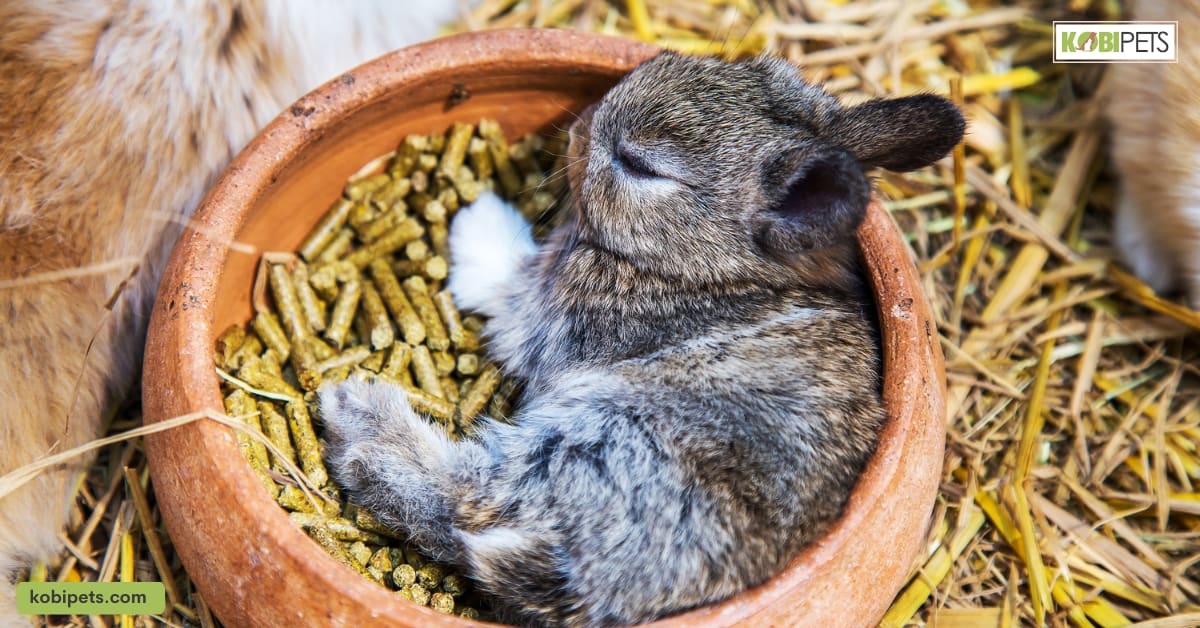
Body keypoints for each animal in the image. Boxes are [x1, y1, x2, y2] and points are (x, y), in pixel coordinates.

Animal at [318, 51, 964, 627]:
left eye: (639, 165)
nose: (579, 128)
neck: (709, 267)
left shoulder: (550, 313)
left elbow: (505, 283)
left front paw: (476, 220)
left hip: (599, 436)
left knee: (467, 499)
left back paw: (356, 413)